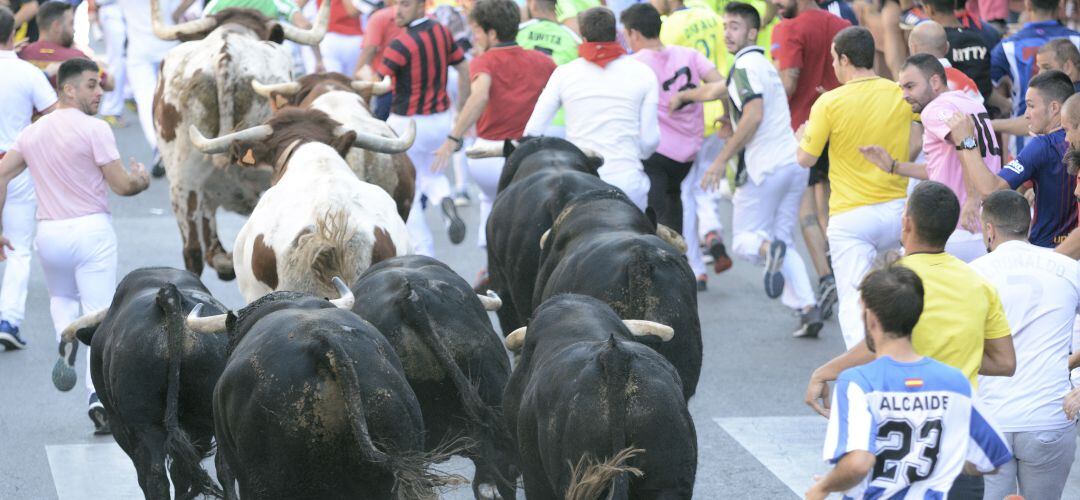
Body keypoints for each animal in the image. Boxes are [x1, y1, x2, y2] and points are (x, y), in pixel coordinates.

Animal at [49, 267, 231, 500]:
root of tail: (170, 297)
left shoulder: (121, 425)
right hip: (209, 417)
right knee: (220, 468)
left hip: (144, 426)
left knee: (154, 476)